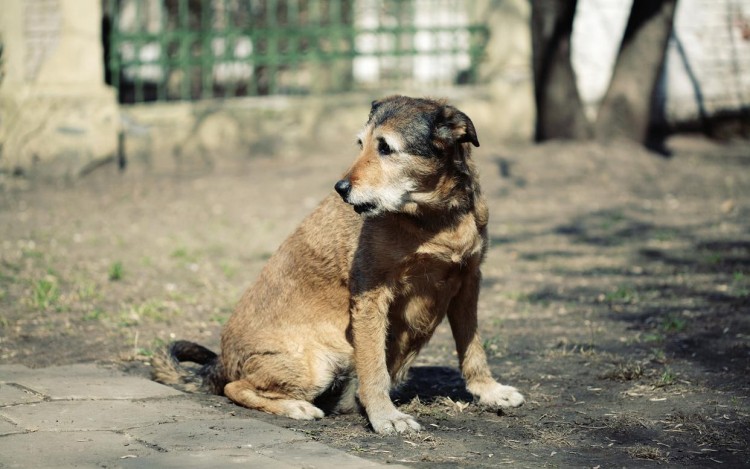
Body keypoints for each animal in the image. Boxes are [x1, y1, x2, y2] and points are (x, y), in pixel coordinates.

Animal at [153, 96, 524, 436]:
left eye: (386, 148)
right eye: (361, 144)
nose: (340, 188)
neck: (434, 219)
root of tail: (220, 362)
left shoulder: (467, 281)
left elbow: (472, 347)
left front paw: (488, 391)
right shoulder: (372, 295)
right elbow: (374, 368)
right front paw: (385, 417)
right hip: (315, 365)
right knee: (236, 387)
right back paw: (297, 407)